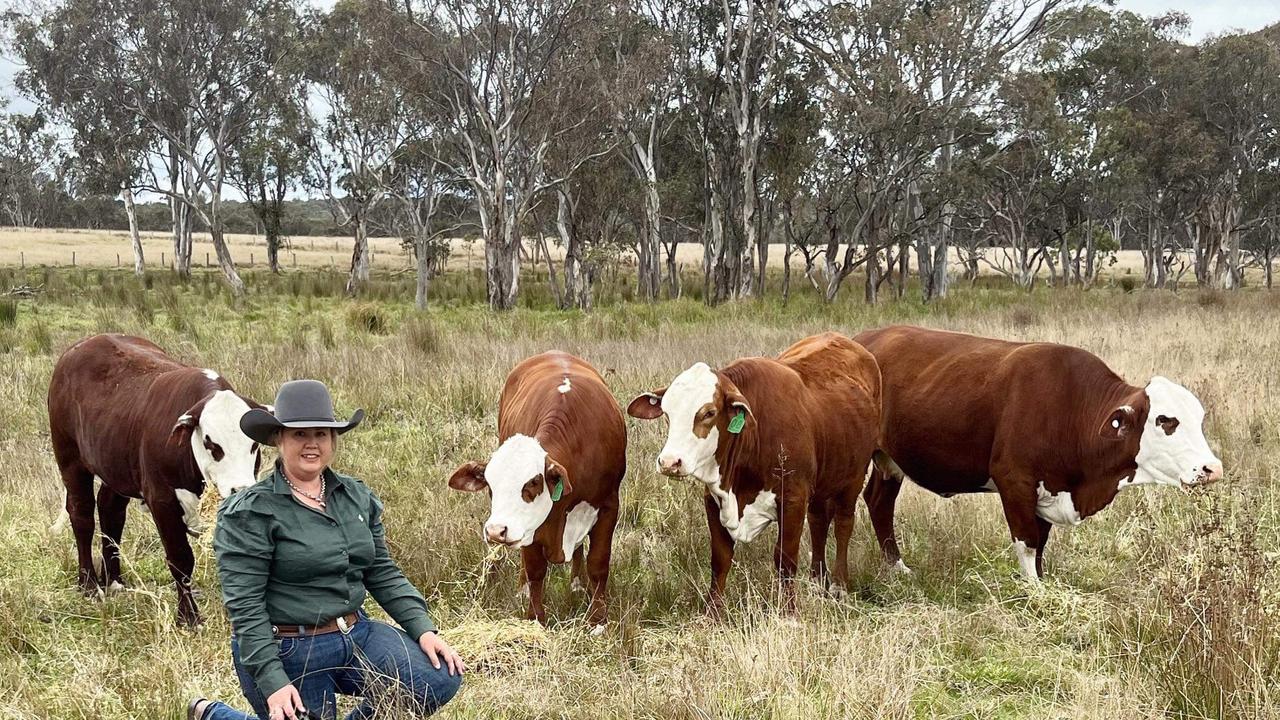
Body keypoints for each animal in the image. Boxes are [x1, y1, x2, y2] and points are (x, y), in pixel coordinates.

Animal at [47, 333, 263, 620]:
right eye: (211, 443)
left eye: (254, 444)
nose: (239, 489)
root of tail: (86, 343)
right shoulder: (162, 500)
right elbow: (180, 558)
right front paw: (188, 617)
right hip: (70, 459)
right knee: (82, 516)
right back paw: (90, 585)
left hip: (116, 465)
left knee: (110, 512)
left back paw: (114, 580)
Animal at [450, 351, 629, 625]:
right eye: (490, 484)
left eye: (533, 482)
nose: (495, 531)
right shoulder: (529, 527)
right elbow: (535, 570)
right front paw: (534, 618)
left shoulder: (609, 506)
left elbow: (598, 563)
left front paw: (598, 619)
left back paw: (577, 584)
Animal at [627, 330, 880, 604]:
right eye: (667, 413)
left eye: (709, 413)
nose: (669, 462)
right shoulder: (714, 499)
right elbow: (720, 561)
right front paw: (713, 611)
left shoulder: (793, 498)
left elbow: (785, 561)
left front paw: (788, 609)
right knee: (818, 523)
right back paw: (816, 580)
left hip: (853, 476)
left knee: (843, 523)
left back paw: (839, 584)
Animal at [855, 324, 1223, 576]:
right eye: (1165, 420)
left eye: (1200, 418)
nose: (1212, 468)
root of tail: (864, 339)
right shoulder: (1015, 482)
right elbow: (1029, 544)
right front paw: (1034, 591)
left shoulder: (1048, 491)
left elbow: (1041, 544)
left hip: (889, 461)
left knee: (879, 502)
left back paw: (897, 568)